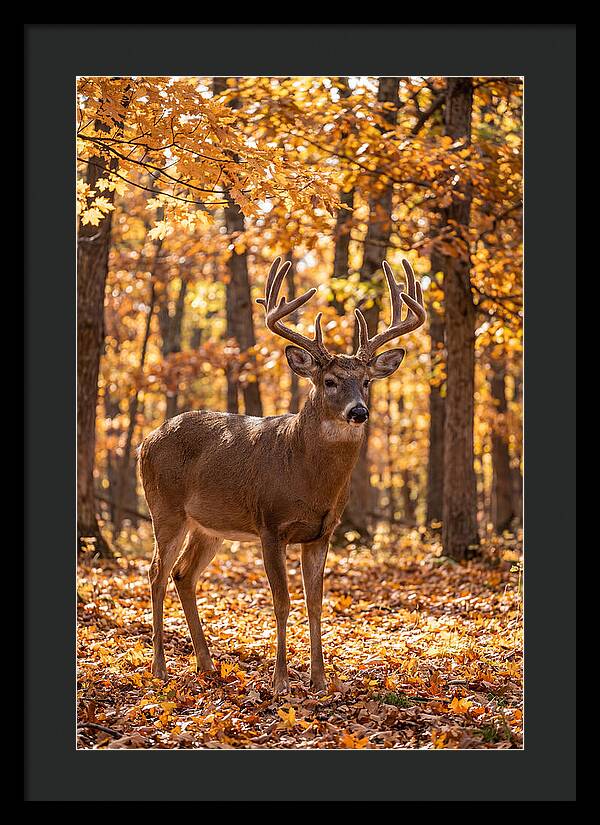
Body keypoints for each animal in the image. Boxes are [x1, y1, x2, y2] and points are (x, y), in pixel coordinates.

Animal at [139, 256, 426, 693]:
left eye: (366, 381)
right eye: (329, 381)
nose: (359, 411)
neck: (306, 476)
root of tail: (146, 441)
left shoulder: (322, 532)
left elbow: (315, 603)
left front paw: (320, 680)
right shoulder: (270, 524)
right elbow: (282, 601)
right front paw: (280, 682)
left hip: (209, 526)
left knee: (182, 574)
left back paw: (206, 663)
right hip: (165, 509)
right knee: (156, 572)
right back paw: (159, 668)